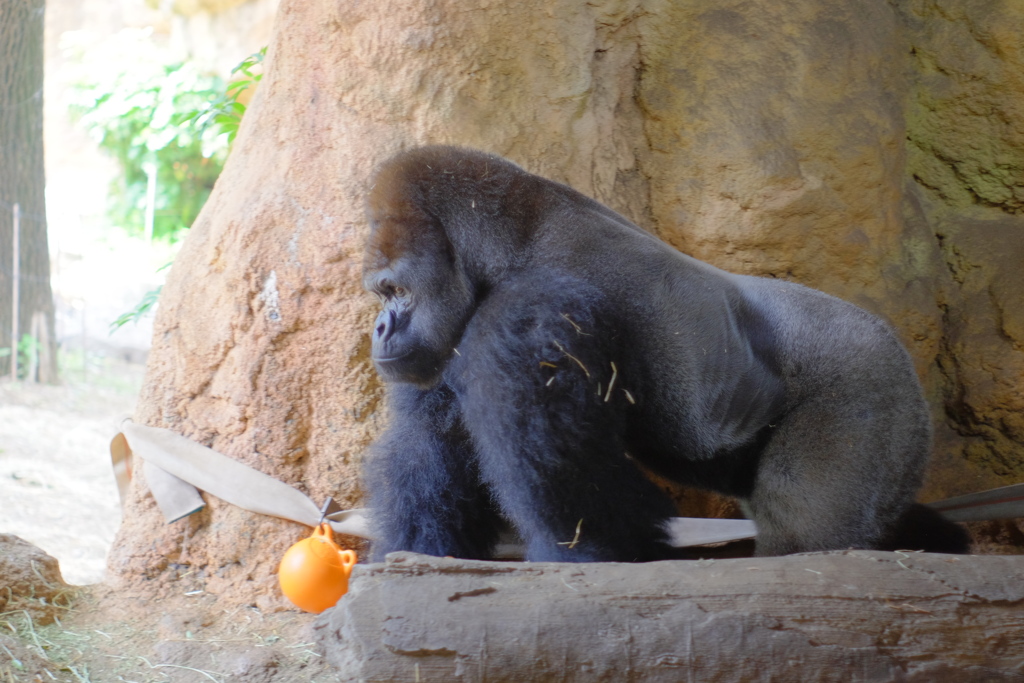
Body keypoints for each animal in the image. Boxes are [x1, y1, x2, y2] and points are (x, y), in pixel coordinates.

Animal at [362, 144, 966, 561]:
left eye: (394, 290)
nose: (379, 328)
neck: (507, 244)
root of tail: (900, 352)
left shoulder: (531, 311)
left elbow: (569, 481)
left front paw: (599, 553)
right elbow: (434, 448)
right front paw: (418, 550)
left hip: (870, 386)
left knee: (809, 530)